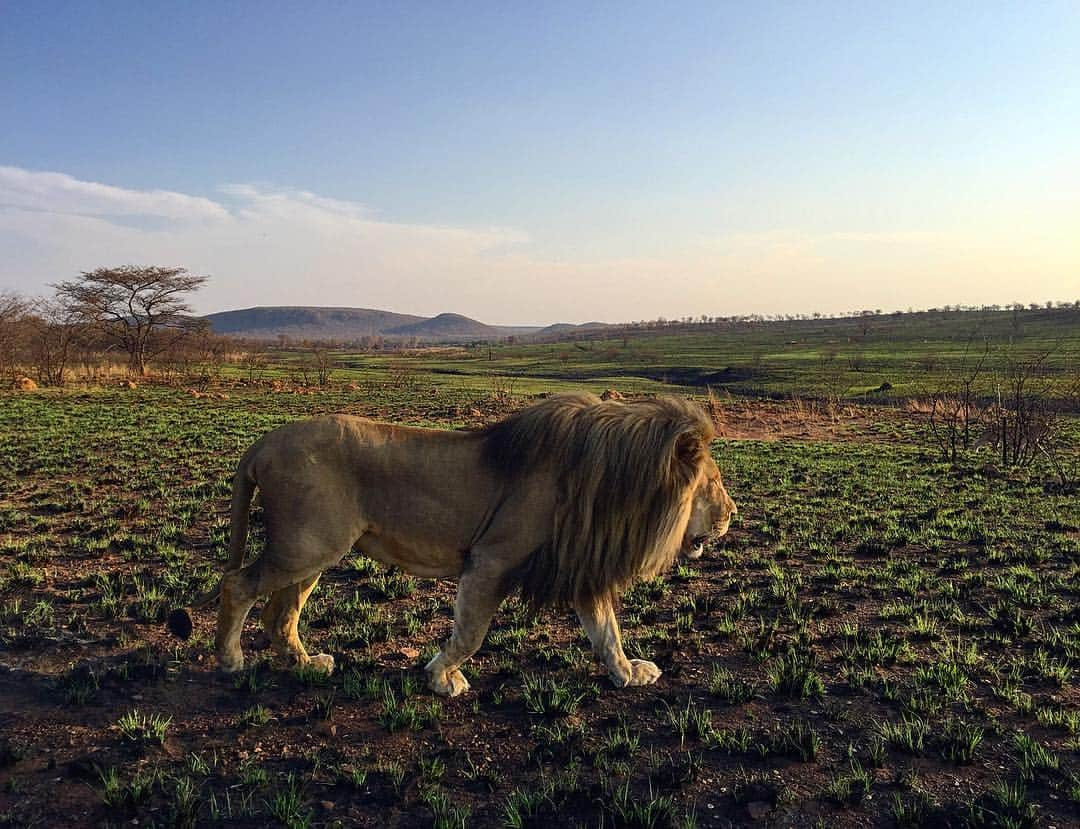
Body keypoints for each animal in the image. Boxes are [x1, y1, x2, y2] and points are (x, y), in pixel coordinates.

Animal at [168, 392, 738, 695]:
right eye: (713, 483)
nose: (733, 514)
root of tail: (262, 442)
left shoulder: (579, 566)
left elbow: (606, 633)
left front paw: (629, 674)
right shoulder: (492, 559)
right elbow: (471, 633)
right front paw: (442, 677)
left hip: (313, 551)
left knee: (279, 612)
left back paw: (307, 664)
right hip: (306, 546)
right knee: (237, 586)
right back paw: (230, 661)